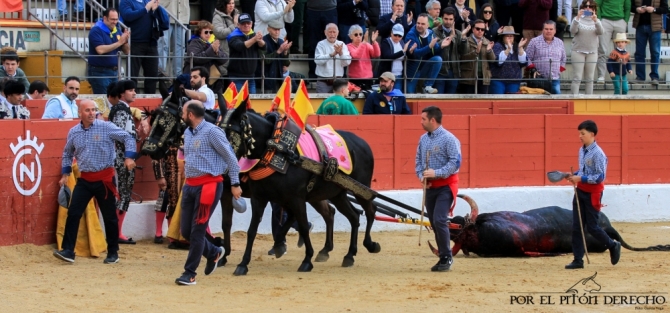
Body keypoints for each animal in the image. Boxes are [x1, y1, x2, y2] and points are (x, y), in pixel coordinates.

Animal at [219, 102, 380, 272]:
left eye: (231, 134)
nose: (224, 169)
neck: (276, 148)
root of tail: (363, 142)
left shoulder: (295, 198)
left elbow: (302, 226)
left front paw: (306, 260)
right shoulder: (259, 197)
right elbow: (250, 229)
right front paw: (242, 263)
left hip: (361, 189)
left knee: (370, 210)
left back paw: (369, 245)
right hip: (334, 194)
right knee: (351, 215)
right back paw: (345, 254)